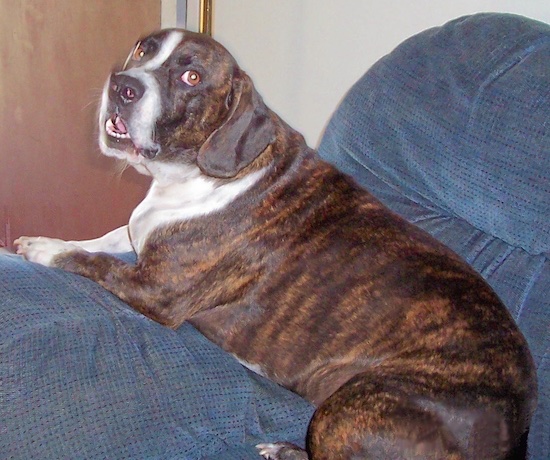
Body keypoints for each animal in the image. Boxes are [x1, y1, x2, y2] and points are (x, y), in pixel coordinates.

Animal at [16, 29, 540, 460]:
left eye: (190, 75)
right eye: (144, 50)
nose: (122, 85)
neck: (190, 174)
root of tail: (517, 431)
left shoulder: (157, 292)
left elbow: (92, 261)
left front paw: (42, 249)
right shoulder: (141, 243)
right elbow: (104, 239)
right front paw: (52, 237)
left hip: (353, 407)